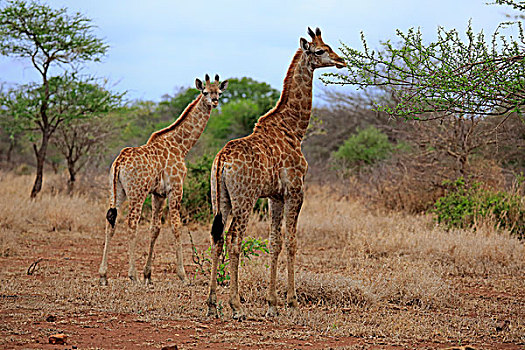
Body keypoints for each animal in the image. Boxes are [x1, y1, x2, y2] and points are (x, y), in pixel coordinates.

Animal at [98, 74, 227, 288]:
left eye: (219, 92)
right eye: (205, 92)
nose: (215, 101)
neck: (181, 146)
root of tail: (119, 163)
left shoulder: (158, 194)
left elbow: (155, 228)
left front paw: (148, 275)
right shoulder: (176, 189)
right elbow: (176, 226)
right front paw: (182, 276)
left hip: (116, 190)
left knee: (110, 219)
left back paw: (103, 275)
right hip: (137, 192)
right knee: (131, 223)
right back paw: (132, 275)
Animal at [207, 26, 346, 318]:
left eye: (329, 46)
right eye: (320, 51)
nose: (341, 61)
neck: (293, 129)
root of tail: (222, 159)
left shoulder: (275, 196)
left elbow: (274, 242)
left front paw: (272, 304)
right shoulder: (296, 191)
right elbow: (291, 242)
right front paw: (292, 301)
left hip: (219, 199)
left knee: (217, 238)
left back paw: (212, 305)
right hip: (244, 199)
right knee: (234, 239)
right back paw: (236, 306)